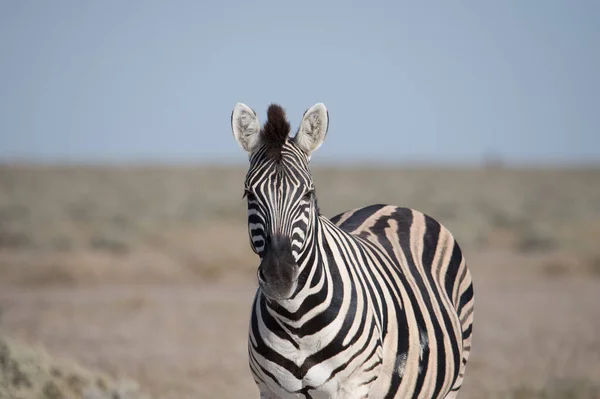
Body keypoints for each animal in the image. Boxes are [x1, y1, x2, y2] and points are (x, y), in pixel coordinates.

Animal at [230, 103, 474, 399]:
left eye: (308, 194)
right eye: (249, 195)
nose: (279, 279)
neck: (296, 320)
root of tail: (393, 206)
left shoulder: (354, 386)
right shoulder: (271, 390)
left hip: (453, 380)